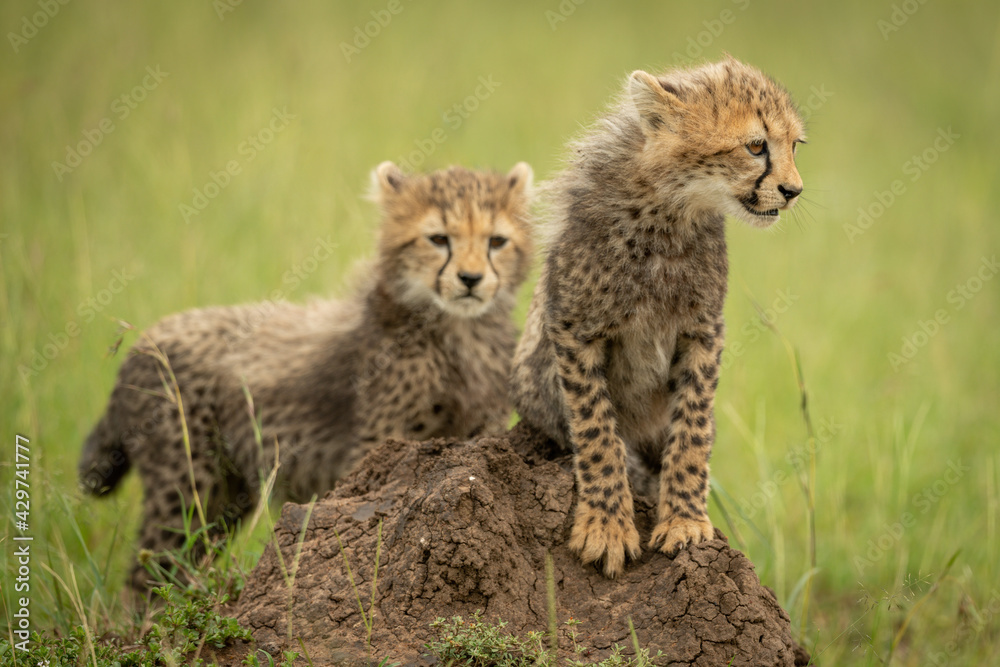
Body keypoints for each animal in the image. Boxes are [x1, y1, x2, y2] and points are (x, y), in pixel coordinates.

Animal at [79, 161, 534, 590]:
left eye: (496, 241)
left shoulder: (479, 436)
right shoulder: (376, 448)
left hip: (226, 494)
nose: (471, 279)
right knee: (150, 571)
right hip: (186, 484)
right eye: (439, 239)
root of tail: (145, 338)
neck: (460, 332)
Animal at [511, 56, 805, 577]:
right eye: (756, 145)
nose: (793, 190)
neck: (669, 209)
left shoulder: (702, 331)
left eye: (795, 145)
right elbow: (598, 432)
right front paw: (607, 528)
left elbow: (693, 429)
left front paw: (685, 522)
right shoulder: (575, 329)